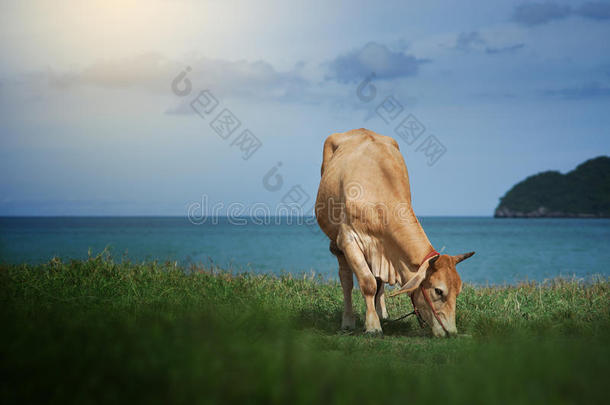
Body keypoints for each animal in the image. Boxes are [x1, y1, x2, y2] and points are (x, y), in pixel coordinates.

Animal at [316, 129, 472, 334]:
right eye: (438, 290)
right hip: (336, 242)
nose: (451, 332)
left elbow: (377, 282)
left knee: (378, 281)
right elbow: (367, 283)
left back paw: (381, 313)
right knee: (346, 279)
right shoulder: (348, 240)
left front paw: (377, 317)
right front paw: (372, 326)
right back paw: (348, 321)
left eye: (458, 291)